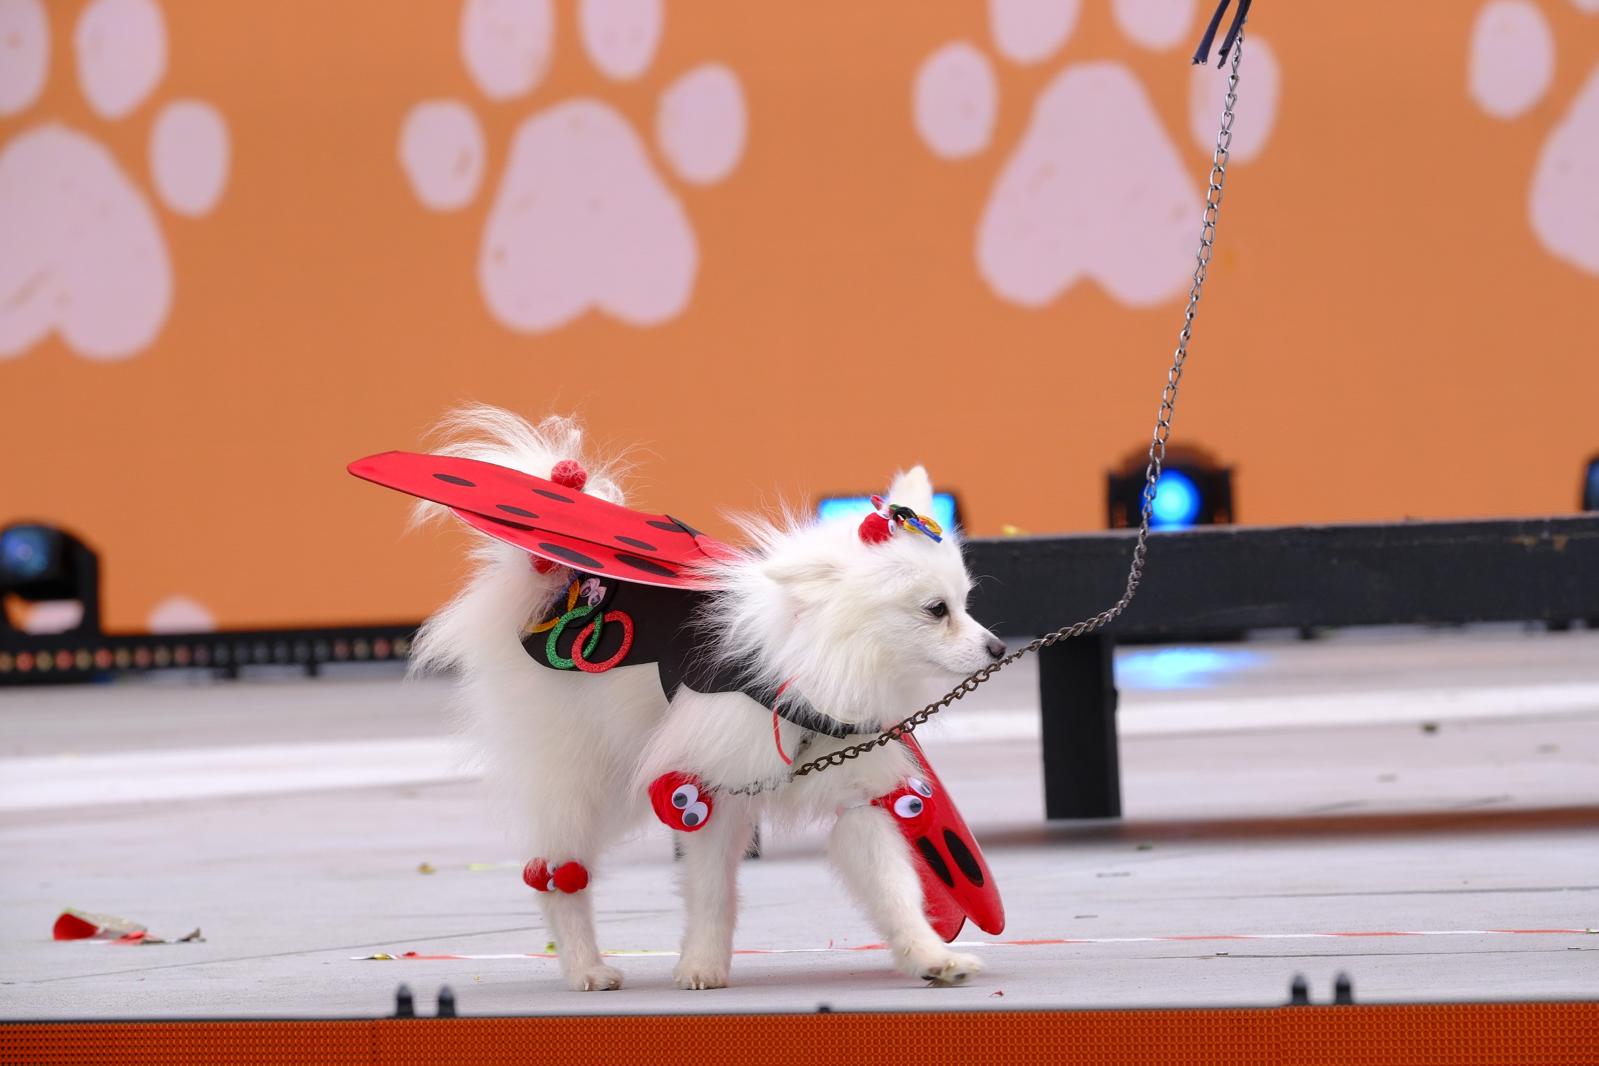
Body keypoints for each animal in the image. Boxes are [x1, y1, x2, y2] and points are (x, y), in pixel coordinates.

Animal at [412, 409, 1004, 990]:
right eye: (935, 610)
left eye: (966, 603)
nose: (997, 648)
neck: (810, 664)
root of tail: (551, 580)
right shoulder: (709, 786)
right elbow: (710, 888)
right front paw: (701, 965)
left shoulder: (857, 790)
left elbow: (892, 884)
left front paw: (929, 956)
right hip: (582, 775)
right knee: (561, 871)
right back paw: (586, 968)